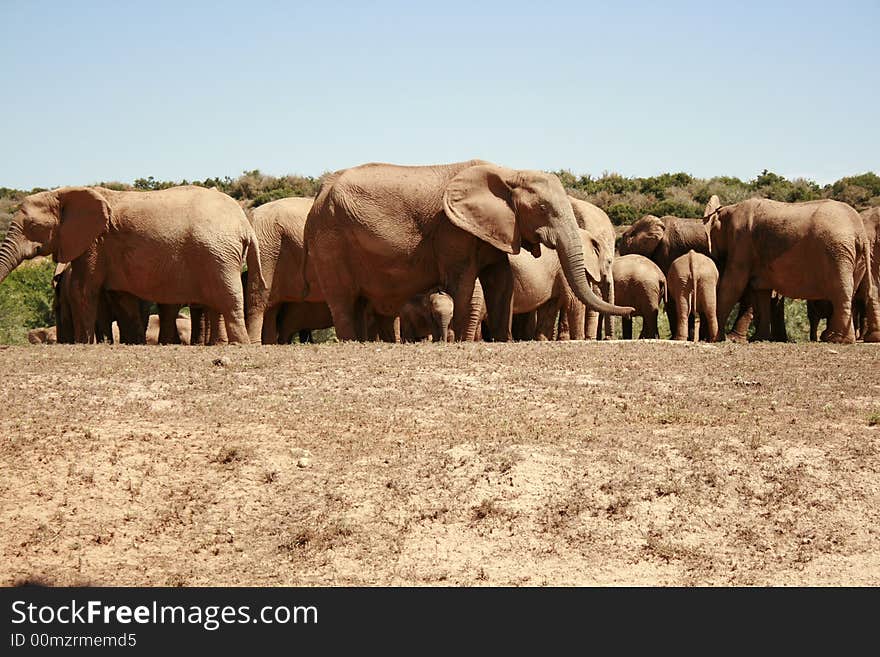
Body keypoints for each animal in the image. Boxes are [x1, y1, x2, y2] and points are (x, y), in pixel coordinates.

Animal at [0, 186, 262, 344]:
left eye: (32, 226)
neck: (64, 192)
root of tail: (244, 224)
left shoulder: (94, 242)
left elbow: (83, 289)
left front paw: (85, 344)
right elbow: (120, 296)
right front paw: (130, 342)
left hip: (218, 254)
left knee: (227, 299)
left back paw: (240, 345)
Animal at [302, 158, 632, 338]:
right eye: (542, 209)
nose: (629, 310)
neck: (508, 173)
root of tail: (319, 195)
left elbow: (501, 281)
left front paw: (502, 340)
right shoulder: (452, 229)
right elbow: (461, 281)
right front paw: (459, 340)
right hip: (330, 241)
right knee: (344, 301)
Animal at [700, 199, 880, 344]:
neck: (729, 209)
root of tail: (860, 232)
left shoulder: (741, 241)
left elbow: (733, 285)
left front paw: (714, 339)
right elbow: (762, 291)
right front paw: (759, 339)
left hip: (837, 252)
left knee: (841, 291)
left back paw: (837, 339)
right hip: (855, 257)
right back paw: (834, 338)